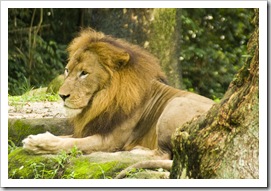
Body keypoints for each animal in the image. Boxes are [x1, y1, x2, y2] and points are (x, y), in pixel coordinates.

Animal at [22, 29, 215, 165]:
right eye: (67, 70)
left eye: (84, 73)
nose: (62, 95)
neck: (102, 100)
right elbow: (67, 137)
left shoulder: (110, 140)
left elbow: (72, 144)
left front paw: (35, 144)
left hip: (175, 104)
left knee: (164, 154)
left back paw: (133, 151)